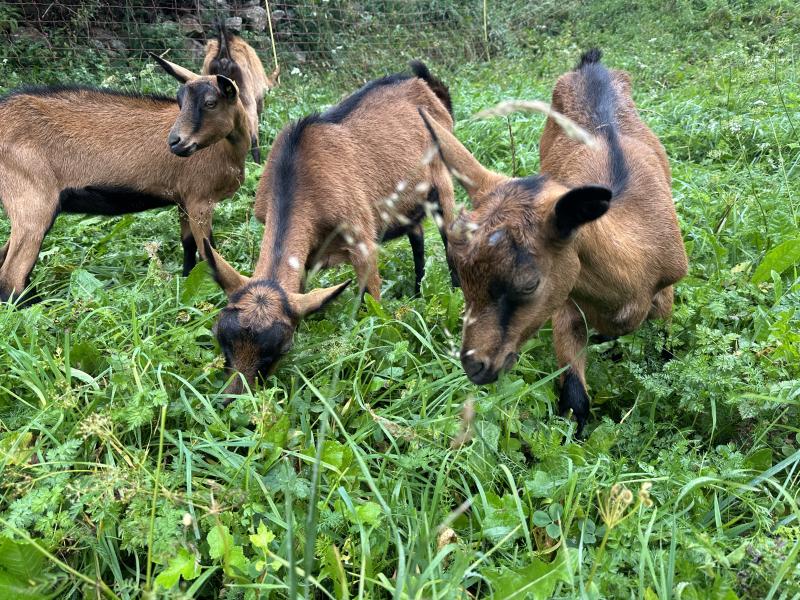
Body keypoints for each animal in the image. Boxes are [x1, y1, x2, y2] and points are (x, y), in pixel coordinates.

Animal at [0, 55, 250, 304]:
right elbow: (208, 248)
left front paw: (185, 280)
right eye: (180, 102)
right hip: (33, 202)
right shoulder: (200, 199)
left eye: (210, 103)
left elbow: (188, 243)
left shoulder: (183, 200)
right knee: (11, 277)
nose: (175, 142)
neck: (226, 150)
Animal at [202, 59, 456, 390]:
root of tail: (424, 84)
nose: (235, 398)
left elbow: (372, 297)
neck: (297, 173)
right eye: (220, 338)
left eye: (282, 348)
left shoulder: (362, 239)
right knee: (418, 236)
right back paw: (417, 292)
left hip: (445, 179)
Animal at [422, 49, 692, 428]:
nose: (475, 366)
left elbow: (667, 352)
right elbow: (575, 399)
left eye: (528, 283)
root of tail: (589, 65)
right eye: (459, 277)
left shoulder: (665, 291)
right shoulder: (567, 303)